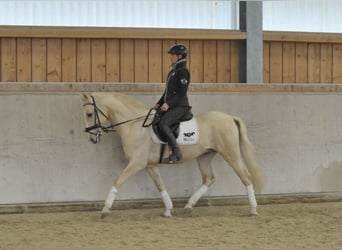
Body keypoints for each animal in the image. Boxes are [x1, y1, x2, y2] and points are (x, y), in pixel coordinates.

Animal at [81, 92, 264, 219]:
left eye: (89, 114)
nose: (92, 138)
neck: (135, 126)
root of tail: (230, 118)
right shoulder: (149, 165)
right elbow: (160, 185)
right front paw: (168, 210)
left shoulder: (136, 163)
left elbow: (117, 180)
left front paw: (105, 210)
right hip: (204, 156)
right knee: (209, 179)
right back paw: (188, 206)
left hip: (231, 154)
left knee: (246, 177)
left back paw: (254, 210)